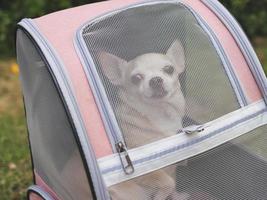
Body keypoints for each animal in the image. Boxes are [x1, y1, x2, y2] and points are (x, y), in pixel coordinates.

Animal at [99, 39, 189, 199]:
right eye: (136, 78)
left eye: (169, 69)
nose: (155, 80)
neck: (161, 113)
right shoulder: (148, 171)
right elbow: (169, 182)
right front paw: (160, 196)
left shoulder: (172, 165)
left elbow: (173, 182)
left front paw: (176, 196)